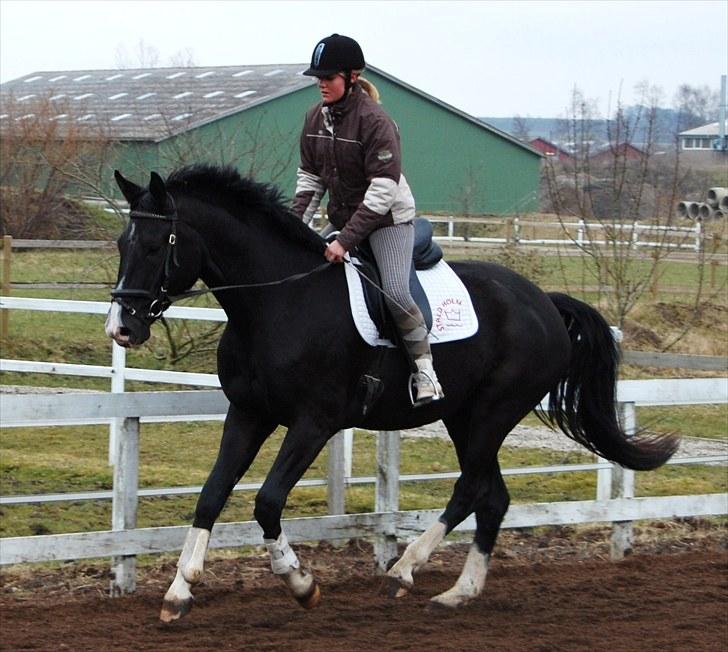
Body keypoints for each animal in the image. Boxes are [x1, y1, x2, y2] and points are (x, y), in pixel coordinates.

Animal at [106, 166, 676, 620]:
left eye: (156, 246)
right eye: (120, 244)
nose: (122, 328)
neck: (277, 301)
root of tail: (543, 302)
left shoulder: (314, 422)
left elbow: (267, 502)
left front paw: (301, 584)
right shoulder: (249, 414)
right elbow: (211, 494)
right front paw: (179, 592)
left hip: (492, 413)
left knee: (470, 489)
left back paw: (405, 570)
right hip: (463, 417)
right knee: (492, 497)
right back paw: (458, 592)